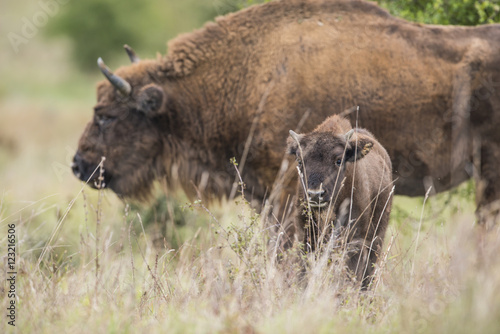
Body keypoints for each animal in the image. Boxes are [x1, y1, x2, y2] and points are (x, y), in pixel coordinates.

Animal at [288, 115, 392, 288]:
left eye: (338, 160)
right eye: (299, 160)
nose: (315, 194)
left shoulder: (355, 241)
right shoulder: (305, 237)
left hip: (377, 238)